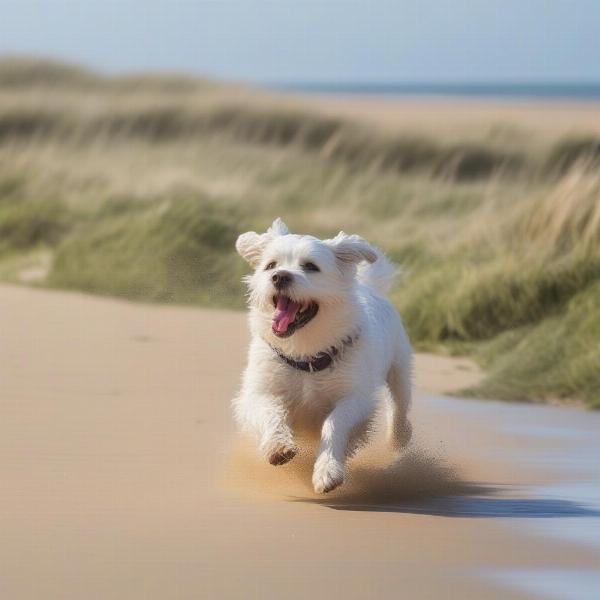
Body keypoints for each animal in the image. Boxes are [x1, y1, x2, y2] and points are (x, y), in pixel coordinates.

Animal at [234, 217, 412, 492]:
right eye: (271, 265)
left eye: (310, 266)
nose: (279, 276)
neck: (305, 352)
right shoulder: (259, 392)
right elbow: (271, 413)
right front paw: (278, 446)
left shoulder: (354, 398)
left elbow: (334, 423)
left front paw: (327, 470)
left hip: (400, 369)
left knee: (400, 404)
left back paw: (399, 437)